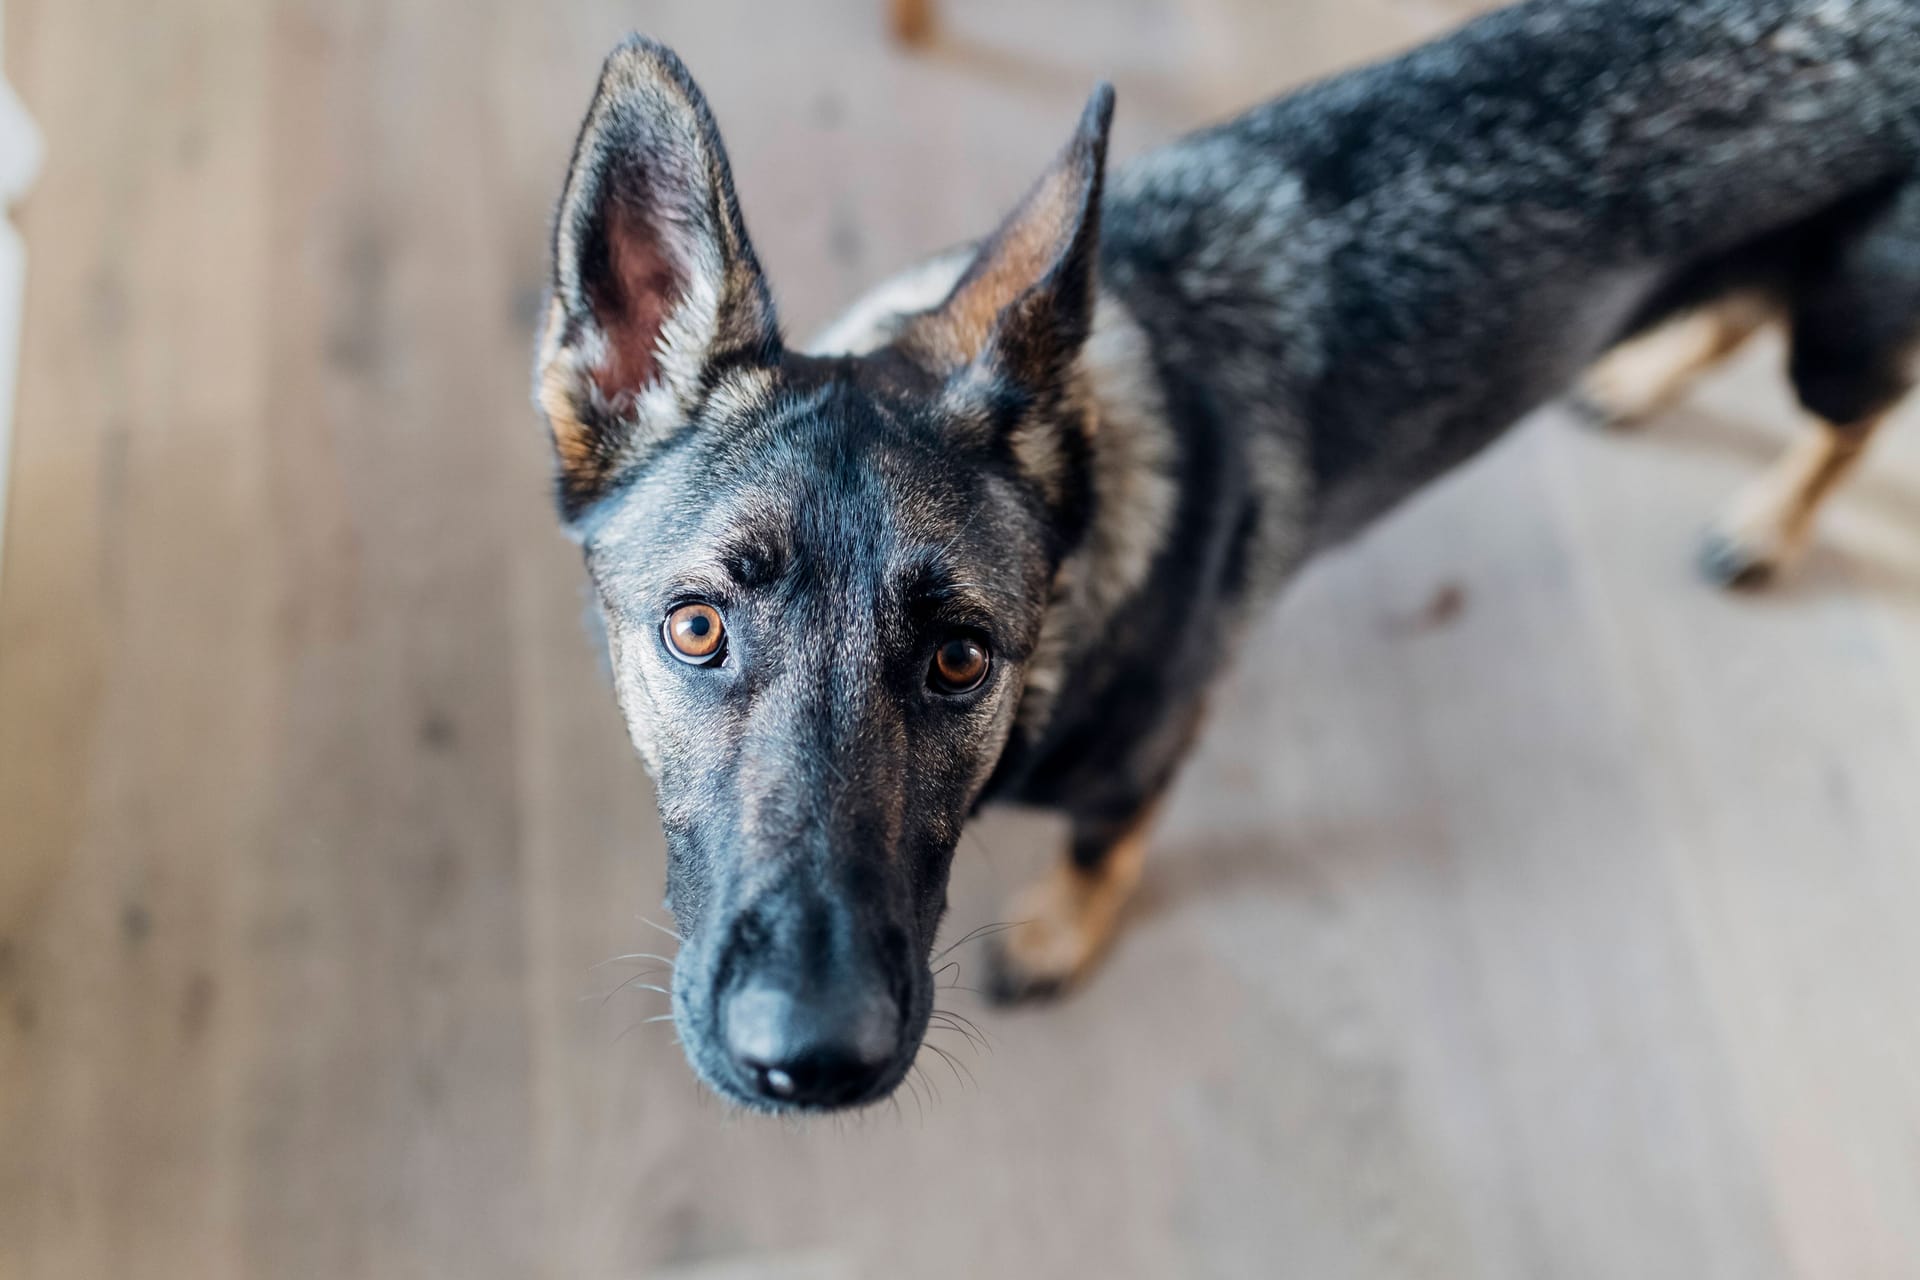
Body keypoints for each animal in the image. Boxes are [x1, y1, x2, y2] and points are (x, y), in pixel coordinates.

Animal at [529, 0, 1920, 1113]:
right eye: (696, 627)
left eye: (961, 659)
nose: (815, 1060)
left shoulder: (1156, 745)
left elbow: (1104, 845)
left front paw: (1062, 932)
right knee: (1745, 306)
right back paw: (1644, 372)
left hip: (1846, 335)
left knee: (1851, 416)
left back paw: (1768, 519)